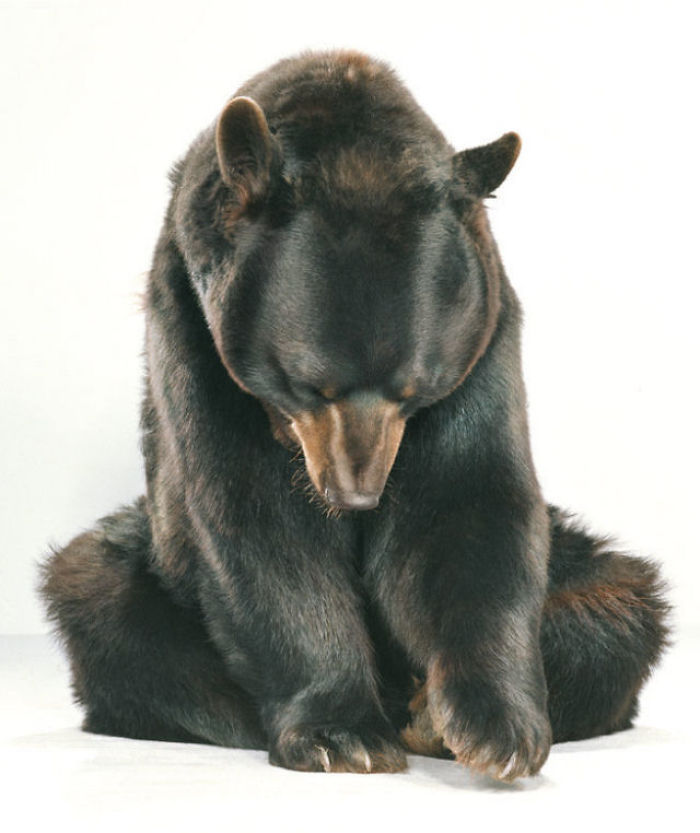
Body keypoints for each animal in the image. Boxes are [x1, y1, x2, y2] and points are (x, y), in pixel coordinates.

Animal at [40, 50, 669, 780]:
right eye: (310, 386)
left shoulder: (485, 333)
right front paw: (342, 733)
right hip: (128, 569)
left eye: (414, 390)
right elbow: (251, 519)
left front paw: (495, 727)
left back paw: (423, 714)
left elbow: (466, 503)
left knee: (617, 611)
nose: (357, 493)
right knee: (105, 604)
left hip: (586, 567)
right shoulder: (192, 336)